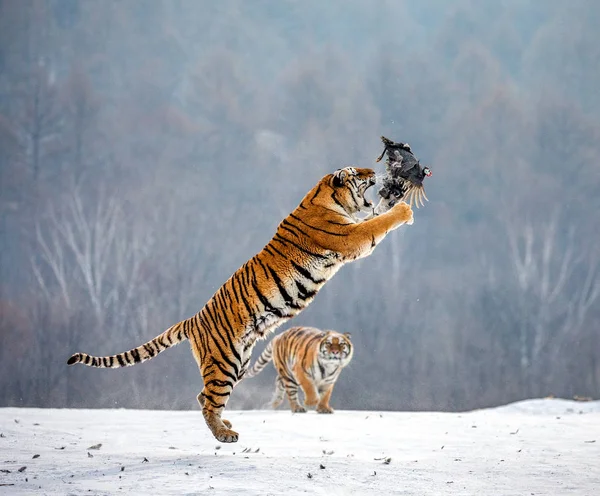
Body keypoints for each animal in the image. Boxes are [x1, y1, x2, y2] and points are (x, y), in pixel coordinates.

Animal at [65, 166, 412, 442]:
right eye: (357, 172)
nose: (373, 171)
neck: (325, 197)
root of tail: (193, 319)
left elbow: (375, 218)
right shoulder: (350, 238)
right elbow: (377, 224)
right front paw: (404, 209)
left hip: (238, 362)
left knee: (203, 396)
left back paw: (227, 424)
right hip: (225, 363)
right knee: (209, 401)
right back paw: (224, 435)